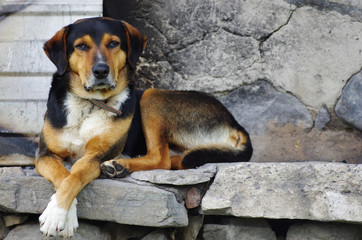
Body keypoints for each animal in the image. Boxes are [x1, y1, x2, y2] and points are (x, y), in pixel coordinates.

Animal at [36, 17, 252, 238]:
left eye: (113, 43)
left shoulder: (97, 155)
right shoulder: (45, 154)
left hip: (151, 96)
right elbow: (63, 176)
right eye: (81, 46)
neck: (90, 104)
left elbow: (75, 175)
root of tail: (234, 122)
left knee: (162, 159)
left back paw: (120, 165)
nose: (101, 71)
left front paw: (56, 215)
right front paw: (63, 214)